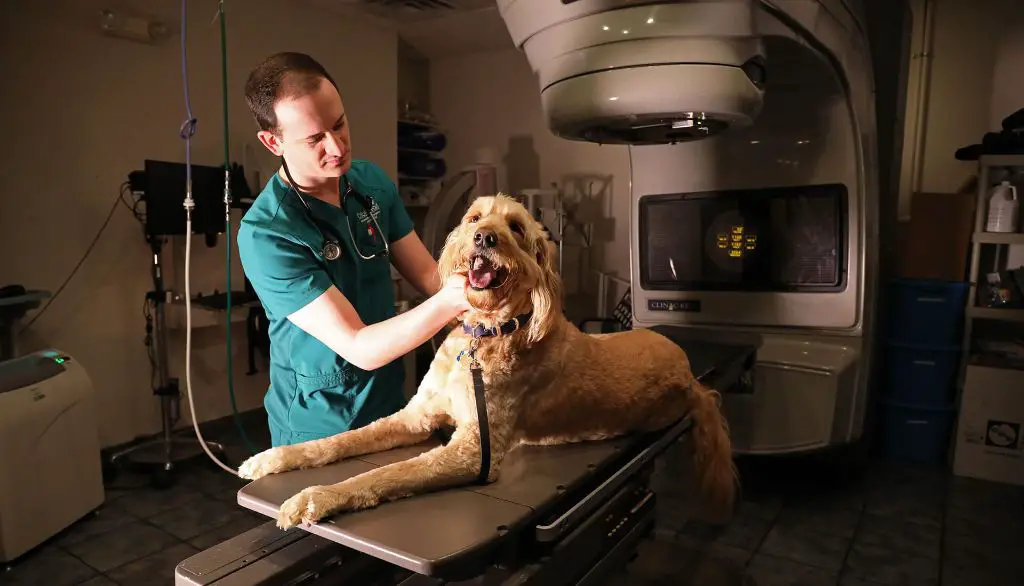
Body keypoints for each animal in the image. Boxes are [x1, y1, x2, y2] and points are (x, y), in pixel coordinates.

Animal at [239, 193, 737, 532]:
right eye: (474, 218)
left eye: (515, 228)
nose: (484, 238)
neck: (483, 336)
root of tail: (690, 375)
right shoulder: (416, 417)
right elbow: (337, 442)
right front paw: (276, 457)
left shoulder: (473, 451)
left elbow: (388, 472)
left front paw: (317, 496)